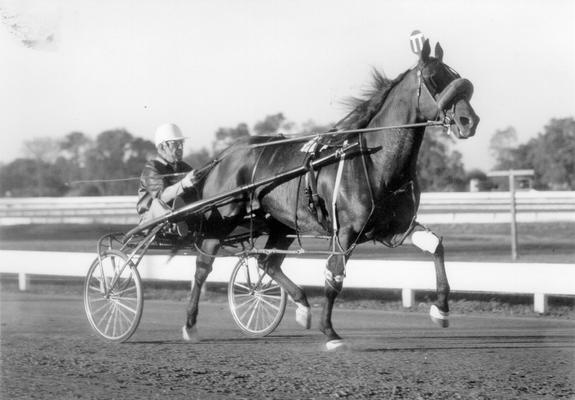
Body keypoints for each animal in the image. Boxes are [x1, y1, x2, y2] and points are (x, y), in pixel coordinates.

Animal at [182, 41, 480, 350]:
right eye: (433, 79)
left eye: (456, 77)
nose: (469, 120)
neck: (376, 160)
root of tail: (226, 155)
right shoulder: (345, 232)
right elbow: (334, 277)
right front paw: (330, 332)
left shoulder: (394, 228)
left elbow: (436, 246)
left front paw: (441, 310)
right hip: (223, 218)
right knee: (203, 266)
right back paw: (190, 325)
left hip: (282, 224)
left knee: (267, 262)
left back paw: (302, 307)